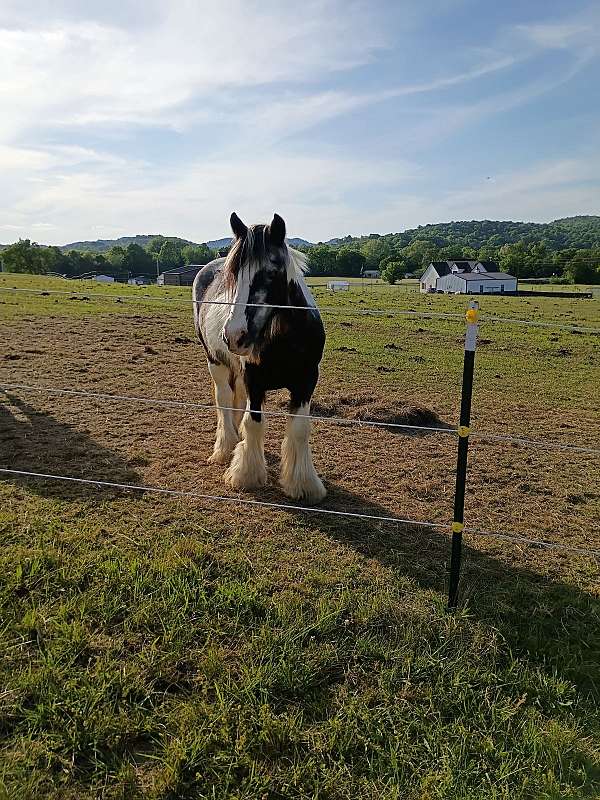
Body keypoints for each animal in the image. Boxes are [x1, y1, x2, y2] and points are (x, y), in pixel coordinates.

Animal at [193, 212, 327, 503]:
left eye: (271, 273)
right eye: (234, 274)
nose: (234, 335)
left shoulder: (306, 382)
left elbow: (300, 428)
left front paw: (304, 484)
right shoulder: (254, 381)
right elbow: (254, 422)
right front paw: (246, 475)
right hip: (215, 362)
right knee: (224, 399)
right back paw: (225, 447)